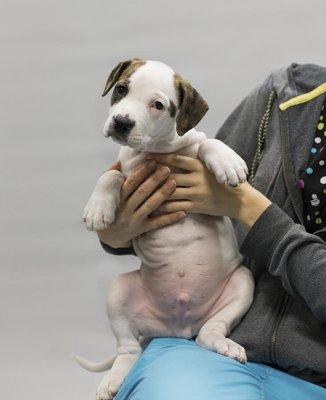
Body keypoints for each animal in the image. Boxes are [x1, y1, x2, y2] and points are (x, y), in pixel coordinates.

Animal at [77, 57, 255, 398]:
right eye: (121, 89)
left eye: (157, 105)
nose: (121, 122)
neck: (157, 151)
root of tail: (178, 328)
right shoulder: (127, 172)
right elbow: (111, 175)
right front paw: (98, 209)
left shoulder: (195, 148)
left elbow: (209, 142)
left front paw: (228, 162)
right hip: (119, 291)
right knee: (128, 349)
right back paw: (114, 380)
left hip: (243, 282)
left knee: (210, 331)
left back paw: (225, 345)